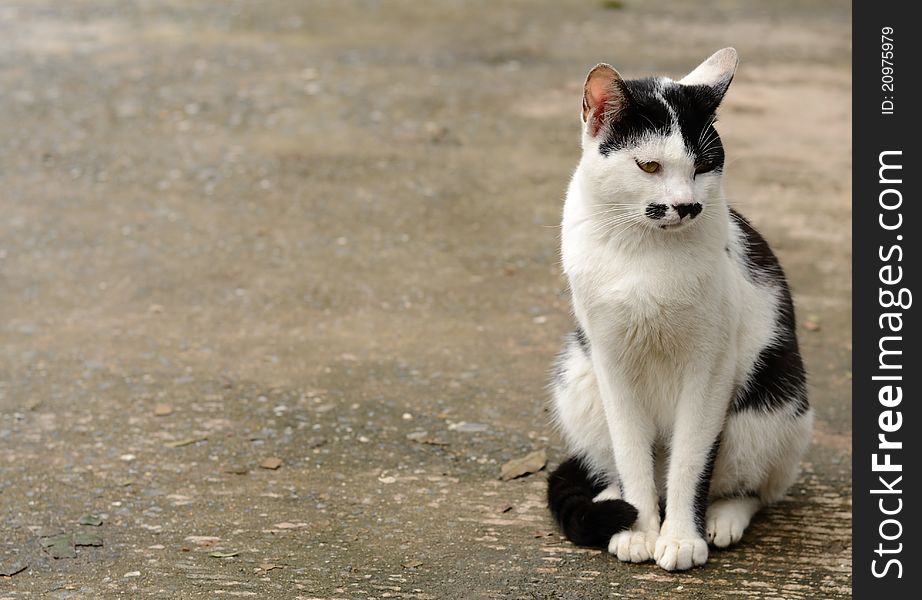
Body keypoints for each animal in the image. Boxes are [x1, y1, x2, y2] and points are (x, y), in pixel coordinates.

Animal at [548, 48, 812, 572]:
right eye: (648, 165)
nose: (686, 206)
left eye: (704, 166)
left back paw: (723, 517)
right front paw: (639, 530)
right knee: (615, 460)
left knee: (754, 487)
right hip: (577, 375)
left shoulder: (711, 367)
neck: (643, 252)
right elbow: (630, 450)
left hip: (772, 400)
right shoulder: (610, 361)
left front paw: (681, 539)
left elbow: (692, 459)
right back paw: (611, 501)